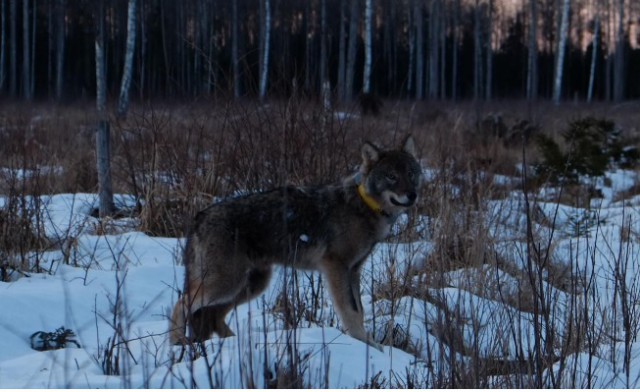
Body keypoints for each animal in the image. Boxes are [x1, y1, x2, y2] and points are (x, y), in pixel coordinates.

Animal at [168, 136, 422, 350]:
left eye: (411, 174)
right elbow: (350, 312)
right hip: (227, 284)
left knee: (213, 316)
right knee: (181, 303)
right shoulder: (336, 268)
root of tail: (200, 216)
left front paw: (371, 346)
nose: (413, 195)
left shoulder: (354, 271)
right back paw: (178, 342)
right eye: (391, 176)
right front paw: (364, 345)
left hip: (249, 286)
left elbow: (358, 311)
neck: (363, 206)